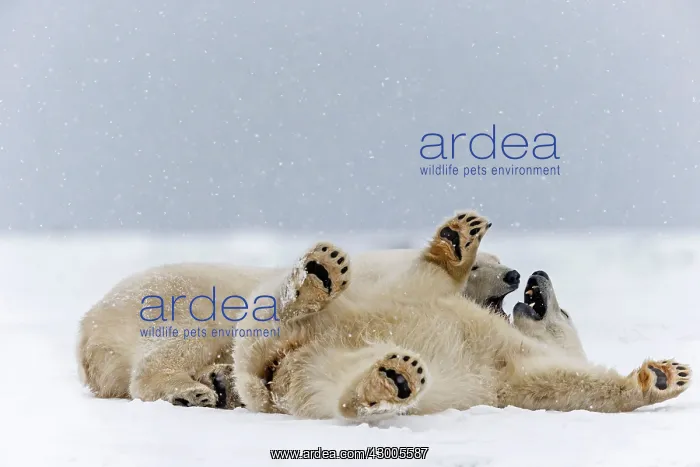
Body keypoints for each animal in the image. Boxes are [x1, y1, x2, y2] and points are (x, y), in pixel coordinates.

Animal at [76, 223, 519, 408]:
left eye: (499, 260)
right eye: (480, 267)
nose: (513, 275)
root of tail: (88, 326)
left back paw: (215, 384)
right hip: (177, 300)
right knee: (174, 348)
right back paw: (193, 391)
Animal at [233, 210, 692, 420]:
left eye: (564, 309)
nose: (538, 274)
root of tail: (266, 380)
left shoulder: (513, 376)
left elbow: (560, 386)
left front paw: (665, 376)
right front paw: (665, 375)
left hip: (309, 370)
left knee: (333, 387)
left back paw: (393, 378)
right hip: (360, 303)